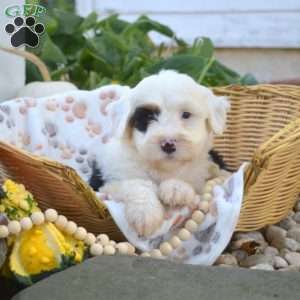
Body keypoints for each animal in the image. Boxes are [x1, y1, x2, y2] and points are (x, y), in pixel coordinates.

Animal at [89, 70, 230, 237]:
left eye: (186, 114)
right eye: (148, 117)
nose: (168, 143)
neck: (161, 168)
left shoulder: (198, 179)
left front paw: (176, 189)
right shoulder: (106, 184)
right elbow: (136, 184)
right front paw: (145, 213)